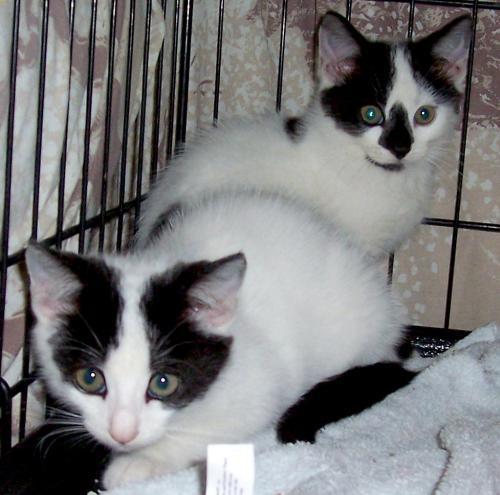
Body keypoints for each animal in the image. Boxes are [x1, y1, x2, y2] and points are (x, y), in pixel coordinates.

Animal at [26, 190, 407, 489]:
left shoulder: (260, 385)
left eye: (163, 383)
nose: (123, 434)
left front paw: (141, 461)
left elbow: (217, 429)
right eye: (90, 378)